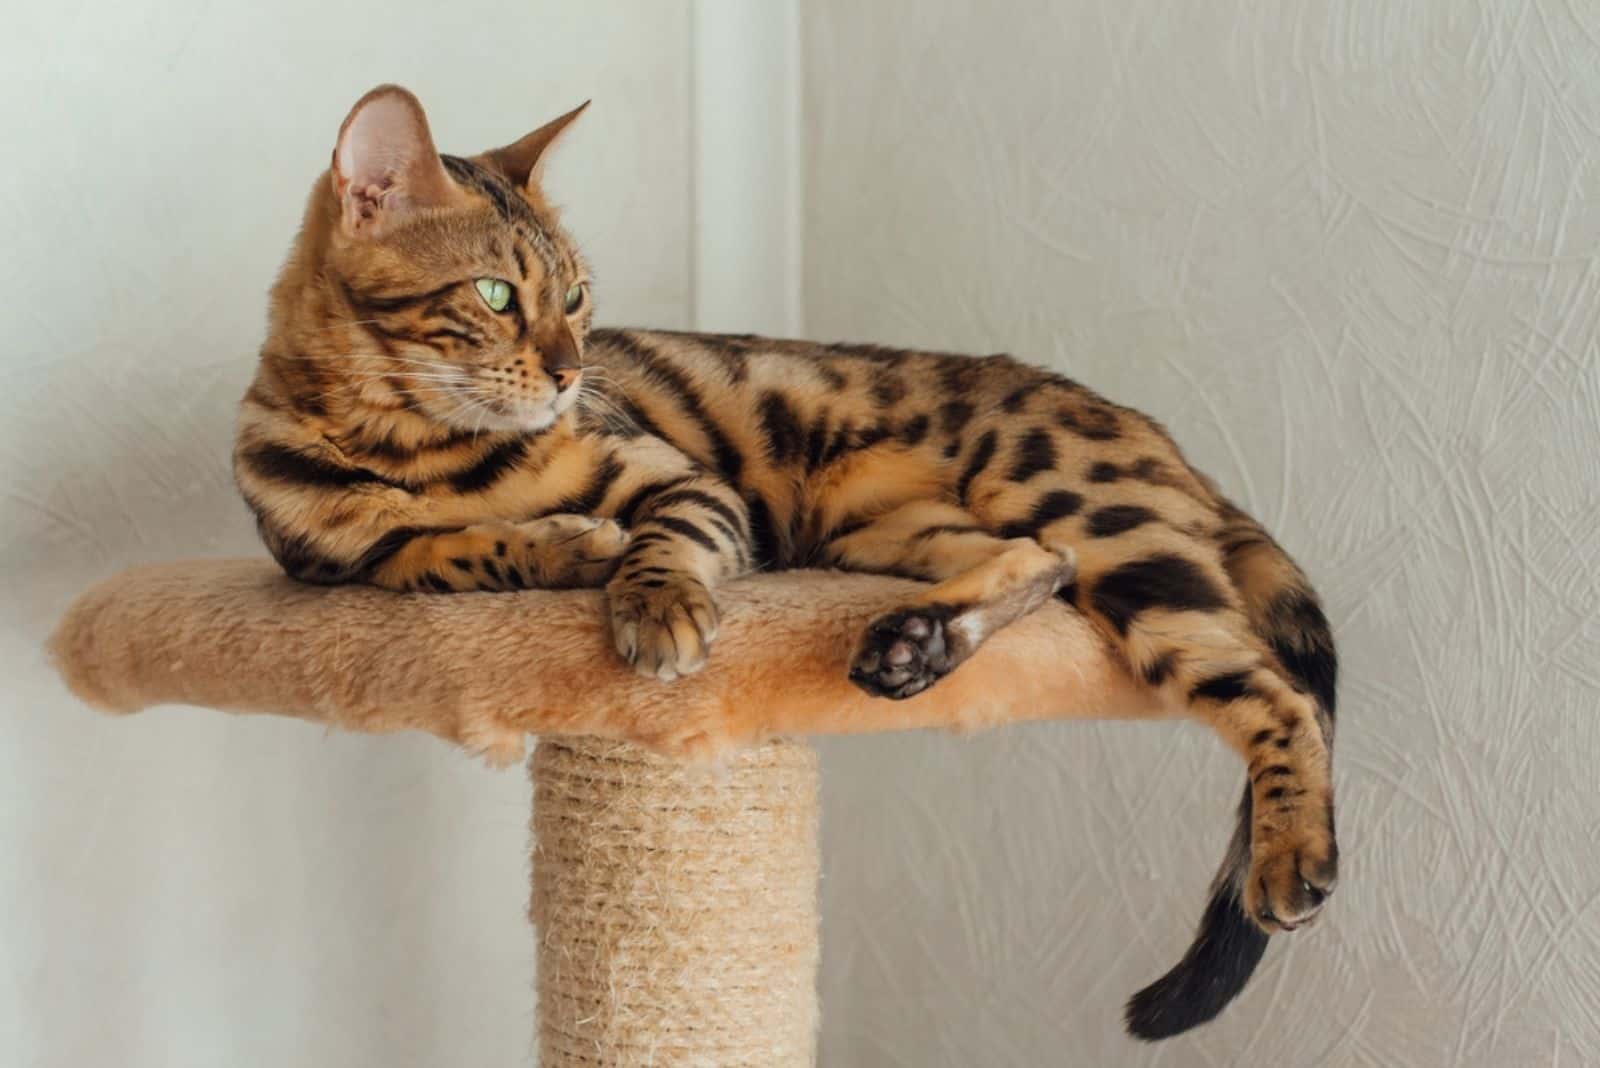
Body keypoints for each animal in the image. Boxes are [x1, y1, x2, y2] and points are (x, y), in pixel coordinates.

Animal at [236, 87, 1337, 1036]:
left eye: (579, 298)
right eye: (497, 294)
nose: (570, 373)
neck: (415, 449)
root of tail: (1158, 438)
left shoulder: (684, 481)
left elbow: (660, 541)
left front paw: (651, 602)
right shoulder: (333, 565)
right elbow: (440, 553)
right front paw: (561, 544)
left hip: (1088, 511)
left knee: (1271, 693)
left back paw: (1293, 857)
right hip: (886, 529)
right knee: (1040, 559)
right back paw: (916, 643)